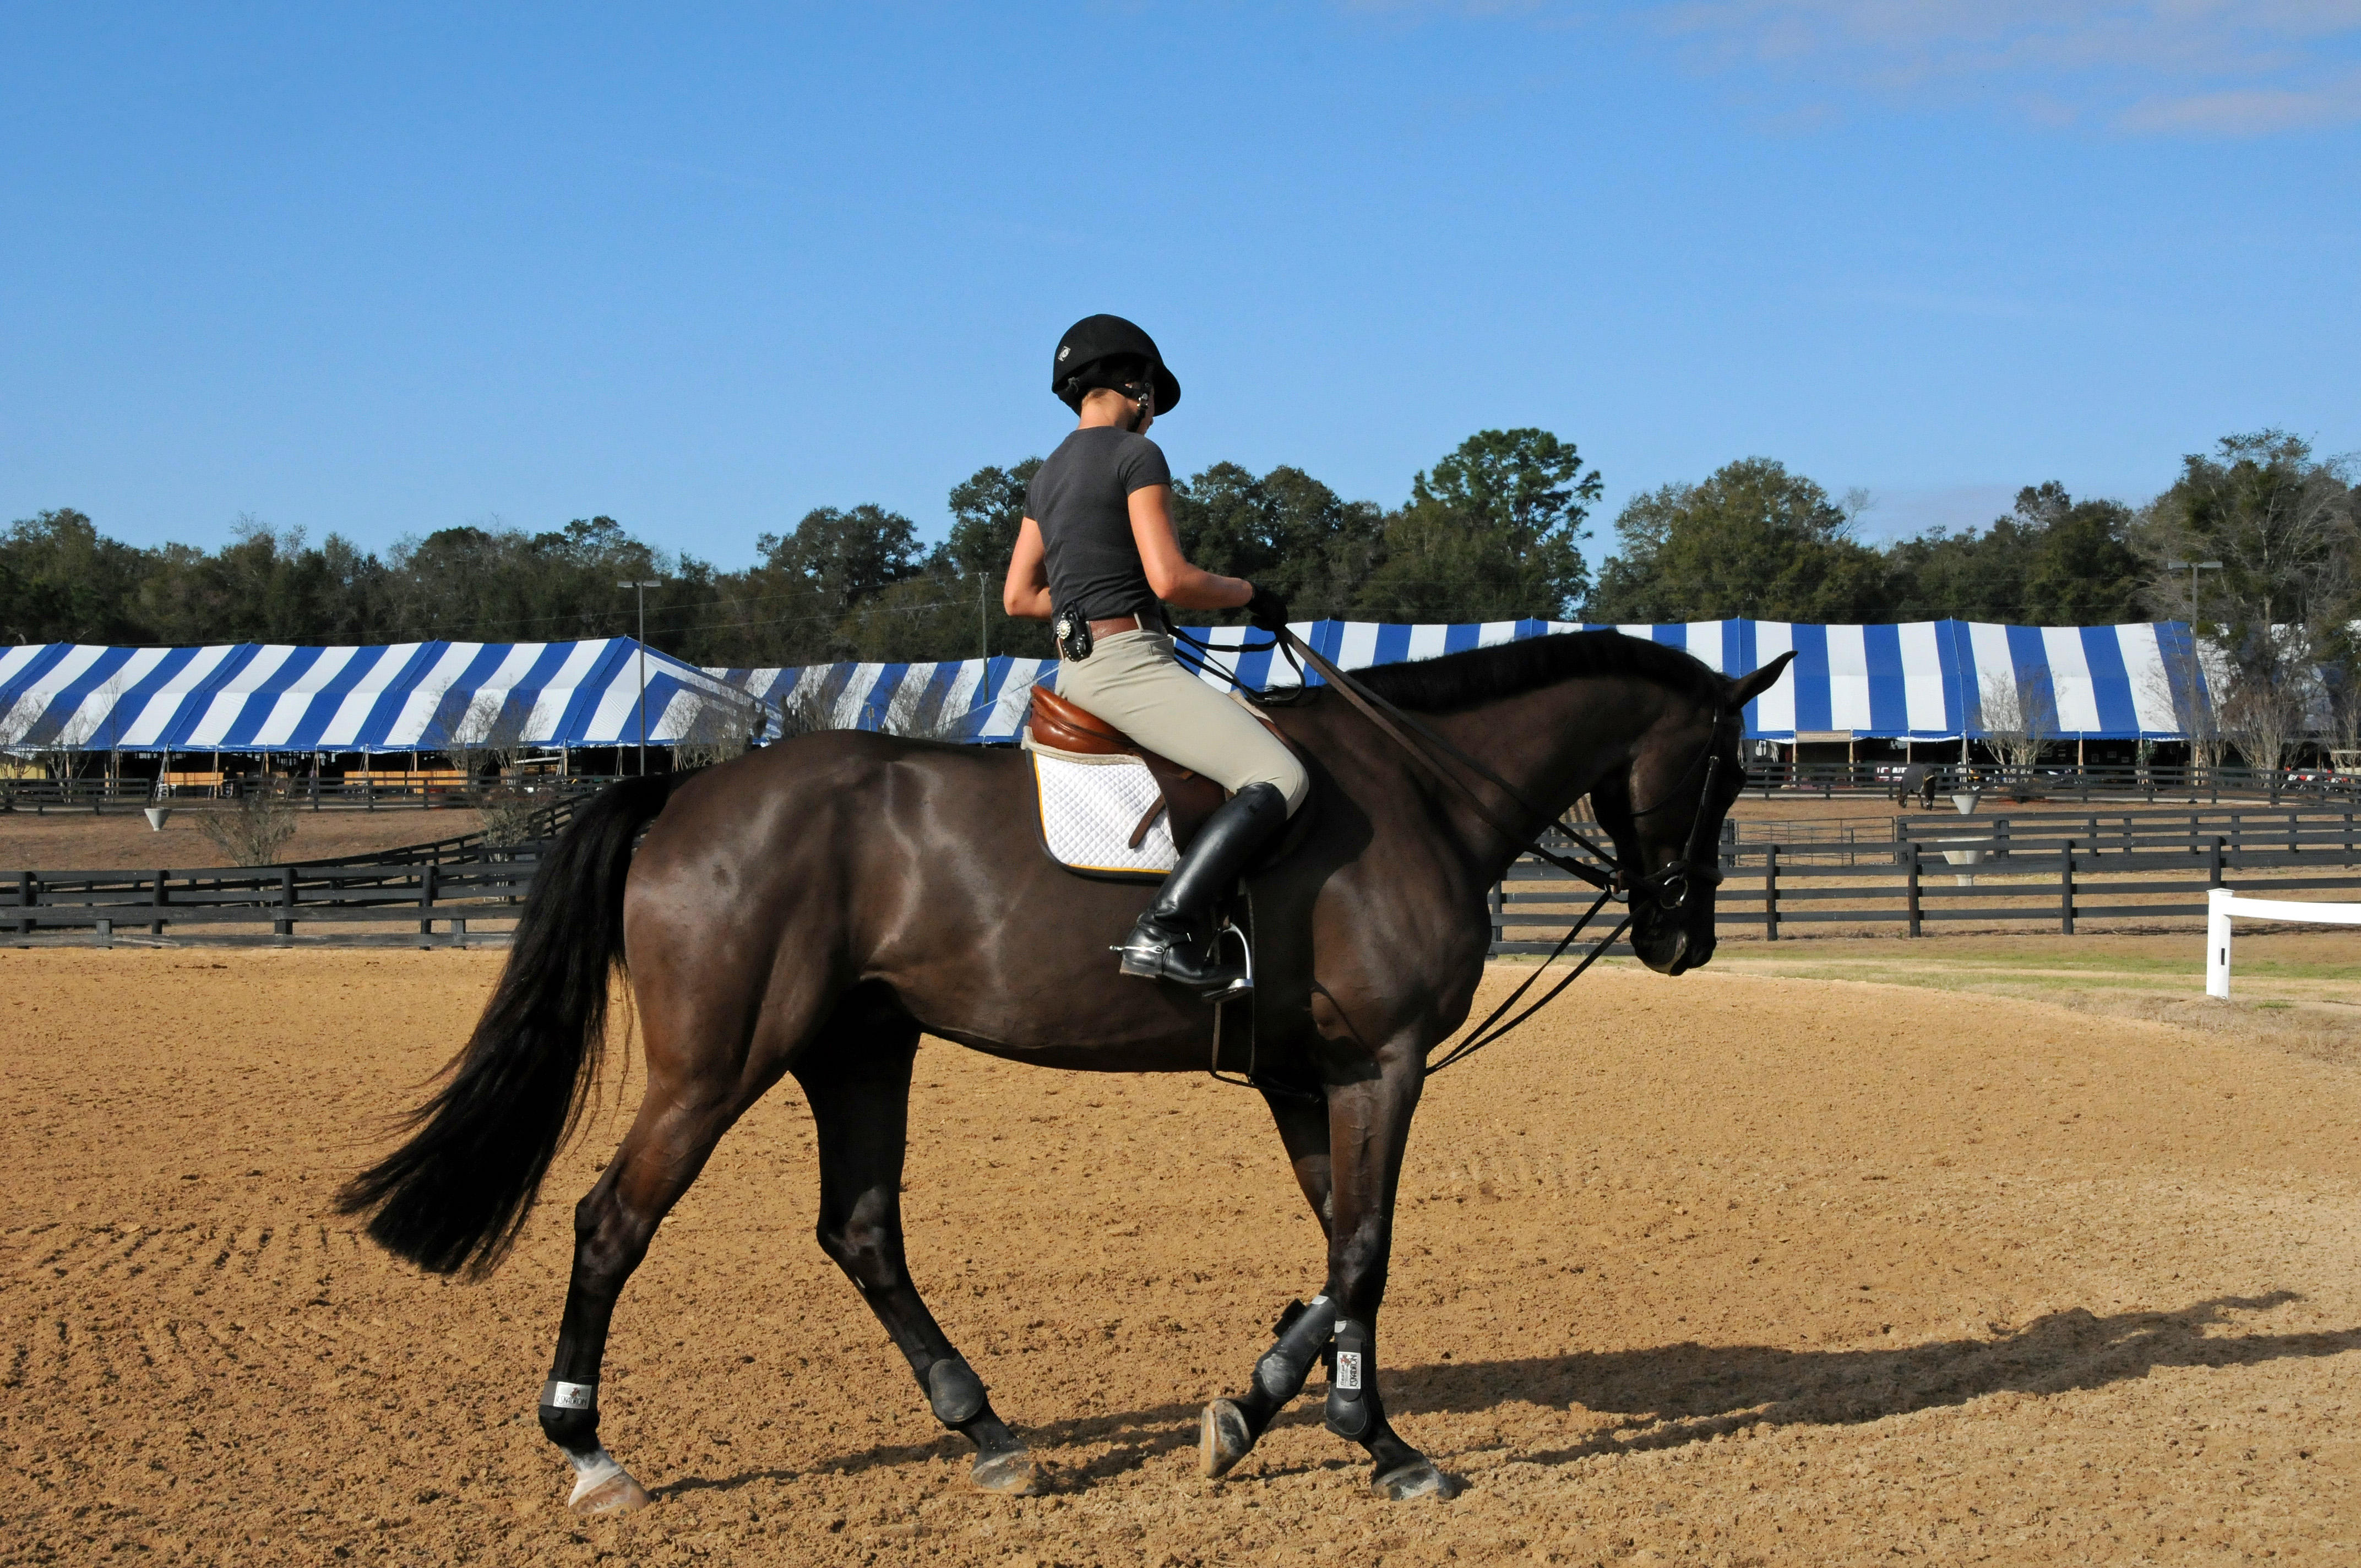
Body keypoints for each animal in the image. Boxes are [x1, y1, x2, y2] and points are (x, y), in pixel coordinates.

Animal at [338, 633, 1785, 1511]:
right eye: (1725, 768)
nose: (1683, 936)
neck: (1418, 784)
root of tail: (684, 794)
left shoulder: (1310, 1073)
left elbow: (1341, 1245)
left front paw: (1325, 1416)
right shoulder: (1380, 1061)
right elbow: (1365, 1249)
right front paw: (1298, 1419)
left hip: (860, 1046)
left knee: (860, 1227)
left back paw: (987, 1431)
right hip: (721, 1061)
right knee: (613, 1221)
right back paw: (590, 1449)